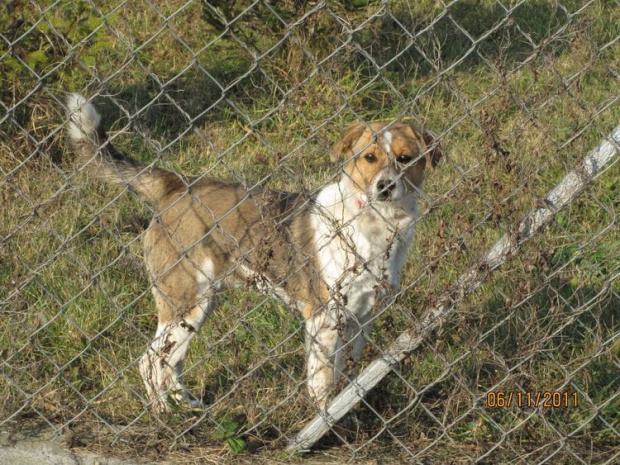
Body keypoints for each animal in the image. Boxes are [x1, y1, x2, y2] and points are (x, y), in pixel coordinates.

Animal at [65, 92, 440, 412]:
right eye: (369, 157)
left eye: (405, 159)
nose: (385, 186)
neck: (374, 224)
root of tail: (176, 184)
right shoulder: (324, 319)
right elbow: (321, 385)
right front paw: (324, 422)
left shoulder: (361, 320)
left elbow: (345, 379)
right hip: (185, 301)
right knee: (150, 360)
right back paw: (162, 415)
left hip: (200, 306)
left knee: (170, 362)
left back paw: (186, 406)